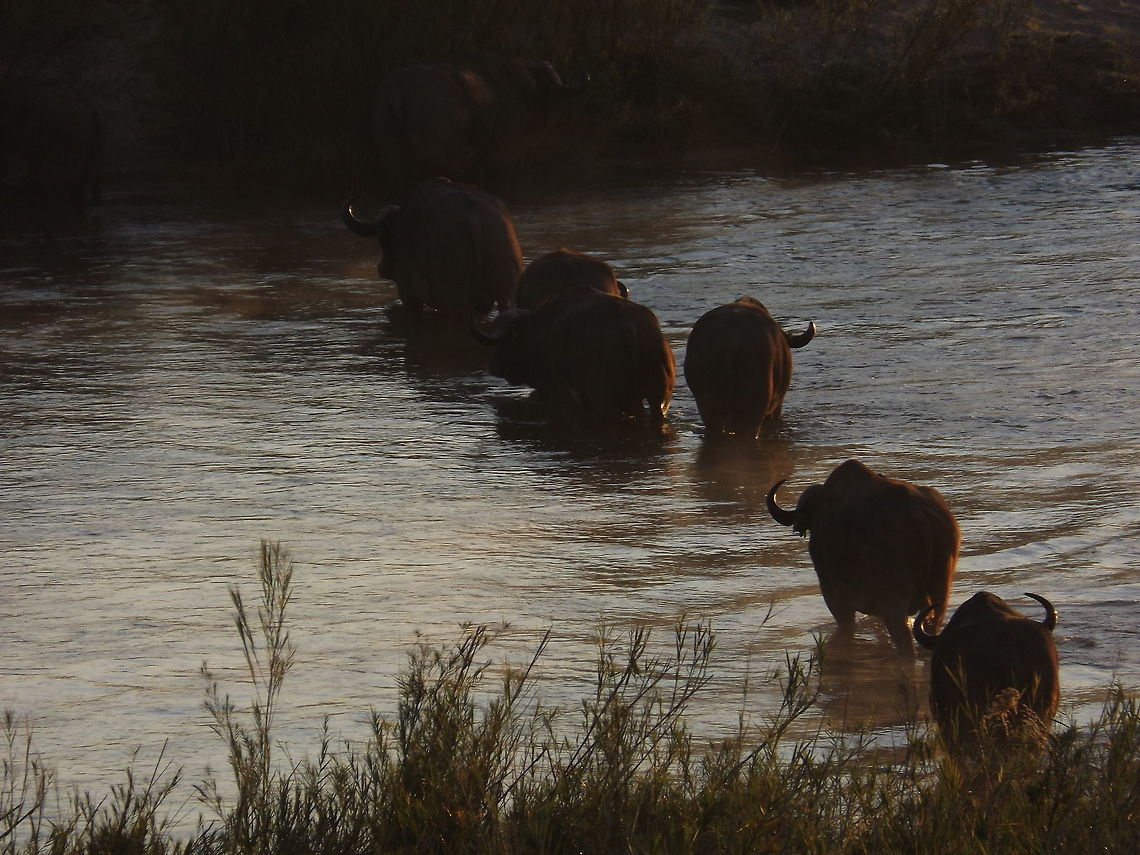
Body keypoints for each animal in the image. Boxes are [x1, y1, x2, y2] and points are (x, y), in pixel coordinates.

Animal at [343, 177, 523, 317]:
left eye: (382, 241)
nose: (382, 269)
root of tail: (473, 215)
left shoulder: (408, 293)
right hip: (506, 294)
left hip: (456, 299)